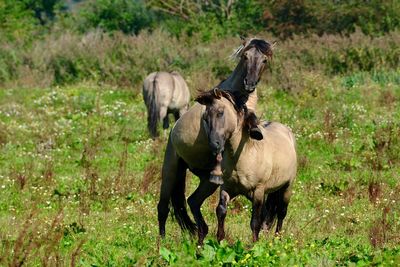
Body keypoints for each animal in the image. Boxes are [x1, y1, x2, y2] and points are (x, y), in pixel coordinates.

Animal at [157, 37, 276, 245]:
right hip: (171, 168)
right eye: (245, 56)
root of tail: (172, 132)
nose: (249, 84)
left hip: (205, 181)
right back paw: (161, 243)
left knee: (193, 201)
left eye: (264, 60)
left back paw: (202, 234)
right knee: (163, 207)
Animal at [195, 89, 296, 243]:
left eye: (220, 112)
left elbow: (255, 221)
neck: (243, 156)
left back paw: (277, 239)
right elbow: (221, 211)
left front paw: (255, 245)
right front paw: (219, 242)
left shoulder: (258, 190)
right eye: (205, 118)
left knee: (281, 213)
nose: (214, 144)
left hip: (286, 188)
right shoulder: (227, 188)